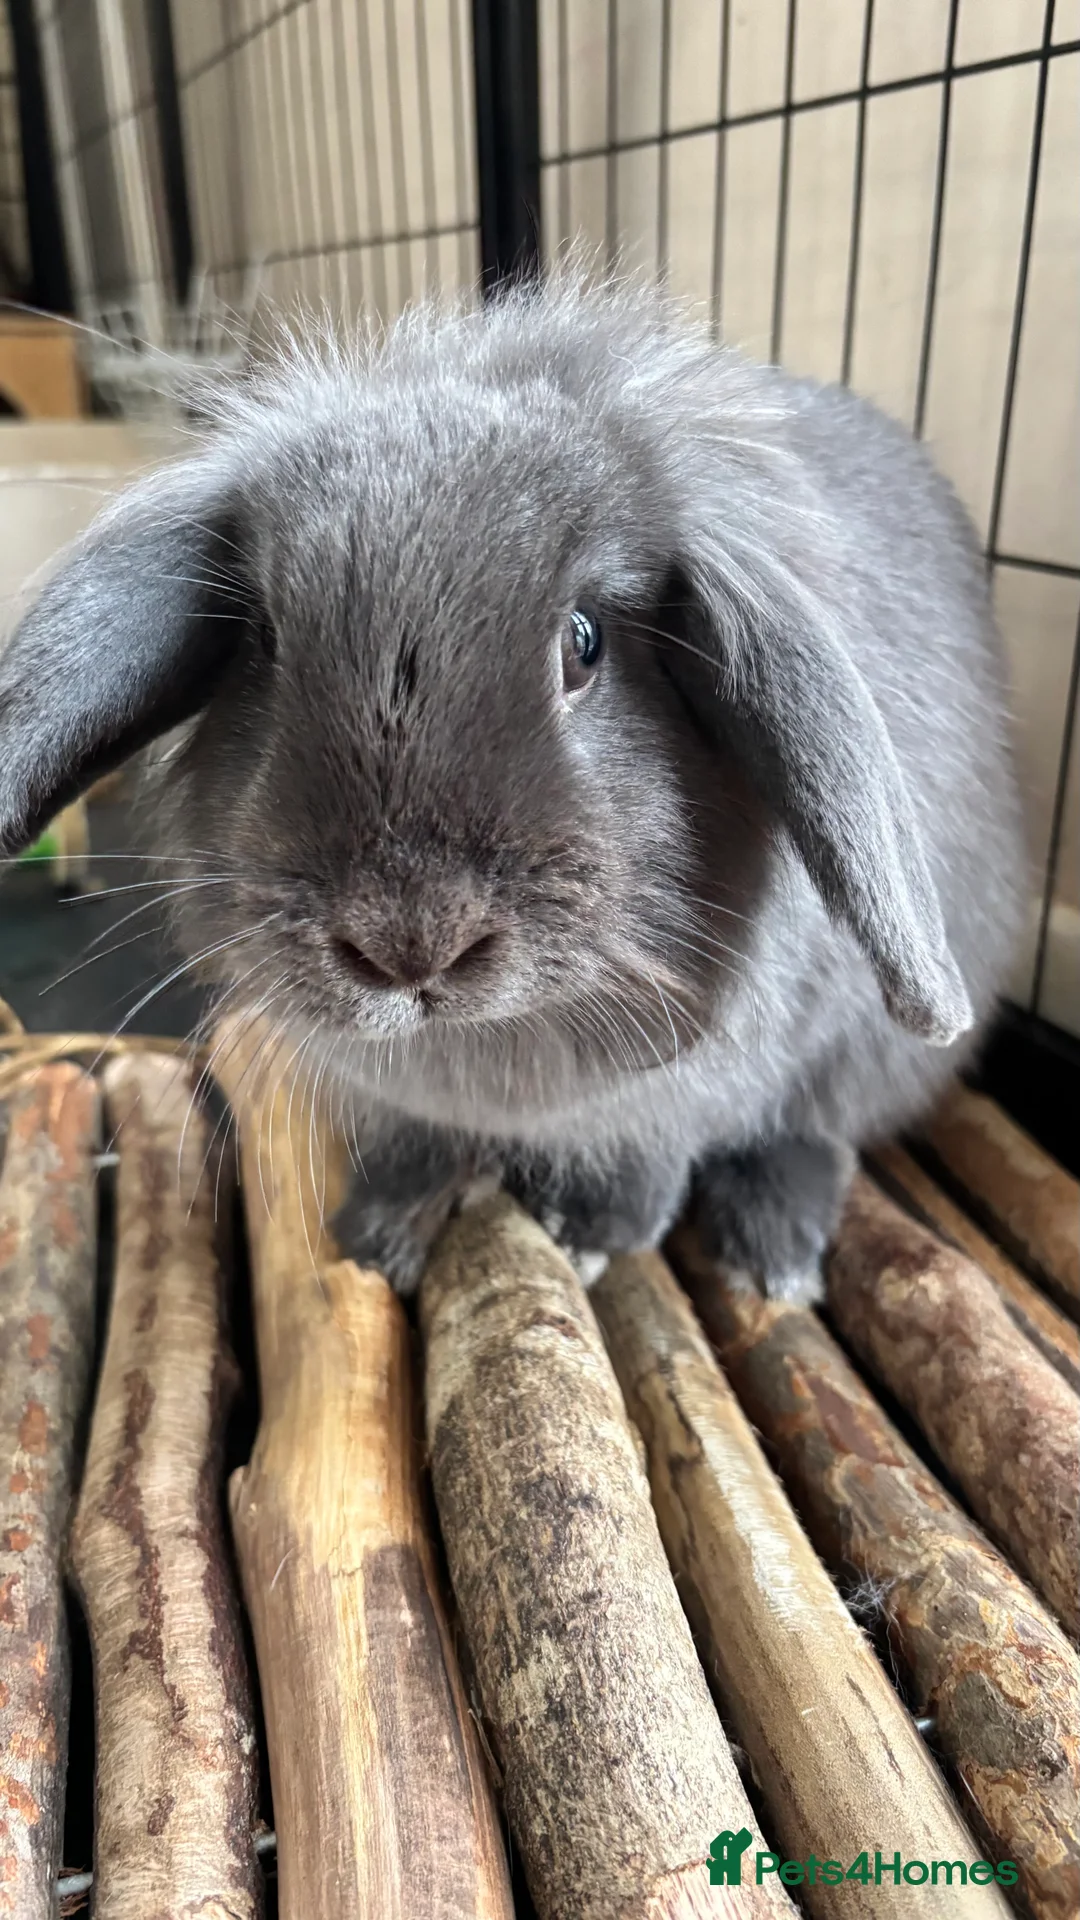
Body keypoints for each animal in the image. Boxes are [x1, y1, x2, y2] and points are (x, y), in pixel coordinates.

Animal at [0, 277, 1026, 1300]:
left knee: (818, 1131)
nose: (409, 942)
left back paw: (770, 1252)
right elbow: (415, 1146)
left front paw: (589, 1233)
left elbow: (651, 1159)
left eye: (585, 640)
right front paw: (378, 1232)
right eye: (264, 641)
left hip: (864, 1054)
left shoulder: (688, 1097)